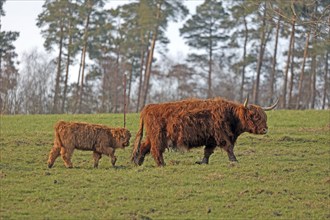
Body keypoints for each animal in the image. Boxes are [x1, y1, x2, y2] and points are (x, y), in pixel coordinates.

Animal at [133, 96, 278, 167]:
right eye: (254, 116)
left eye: (264, 116)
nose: (265, 129)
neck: (231, 115)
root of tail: (148, 108)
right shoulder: (221, 135)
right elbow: (229, 148)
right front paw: (234, 161)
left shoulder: (212, 139)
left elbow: (207, 151)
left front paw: (203, 162)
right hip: (158, 136)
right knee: (155, 149)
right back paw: (161, 164)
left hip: (152, 136)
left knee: (144, 147)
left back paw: (138, 163)